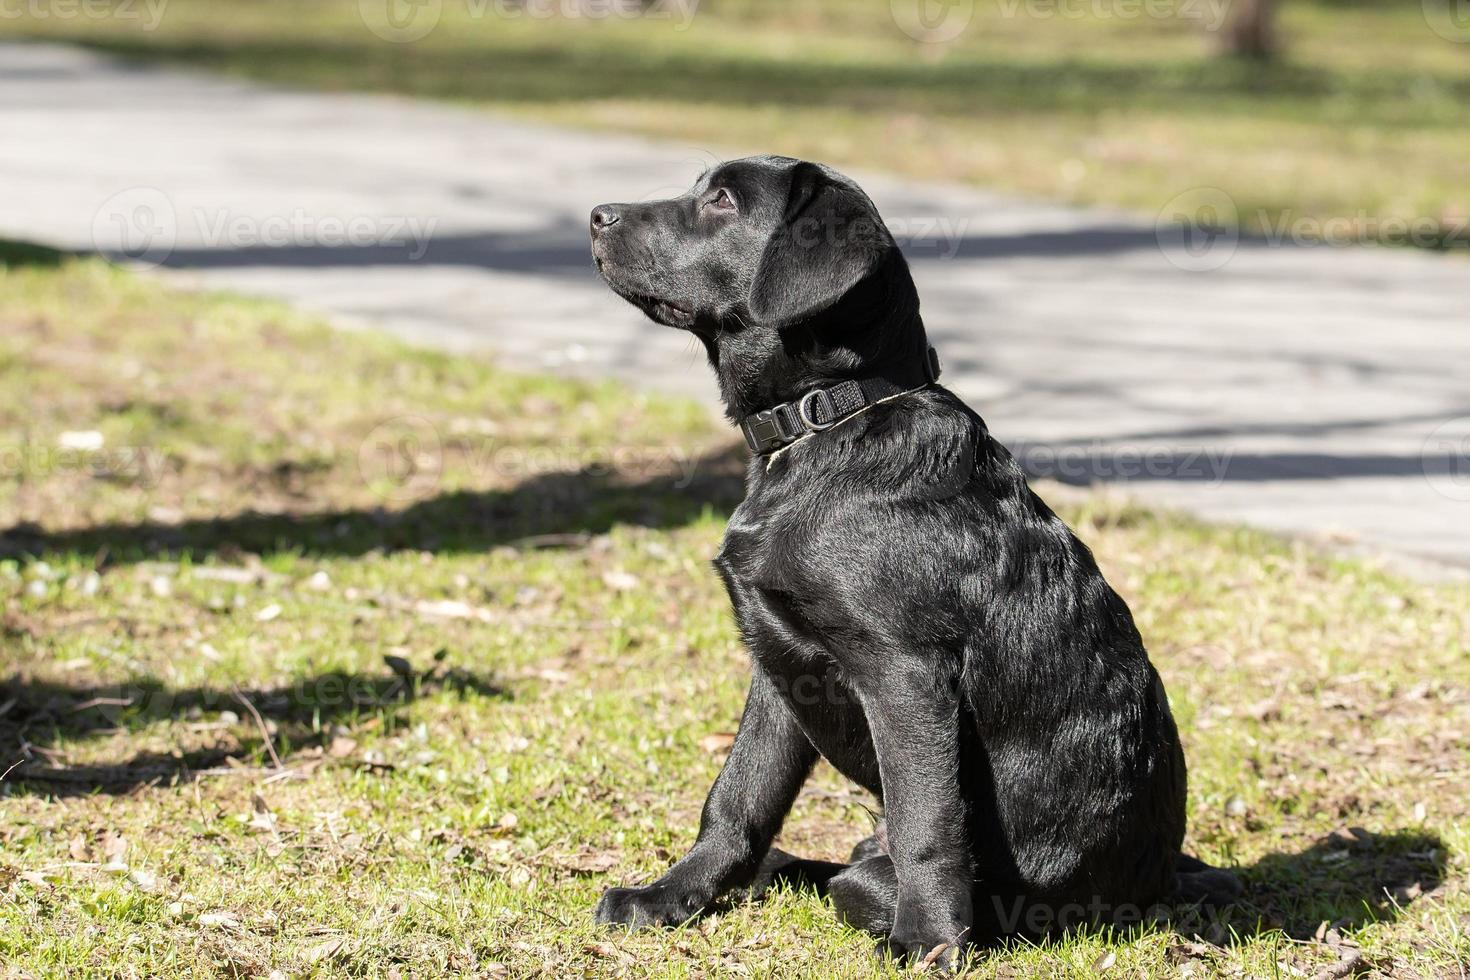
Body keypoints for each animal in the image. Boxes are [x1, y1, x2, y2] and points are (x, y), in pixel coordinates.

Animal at [585, 157, 1240, 969]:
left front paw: (928, 944)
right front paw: (669, 898)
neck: (828, 421)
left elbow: (926, 821)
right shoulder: (779, 664)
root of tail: (1163, 881)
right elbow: (737, 796)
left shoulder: (905, 674)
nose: (597, 215)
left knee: (865, 873)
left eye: (723, 200)